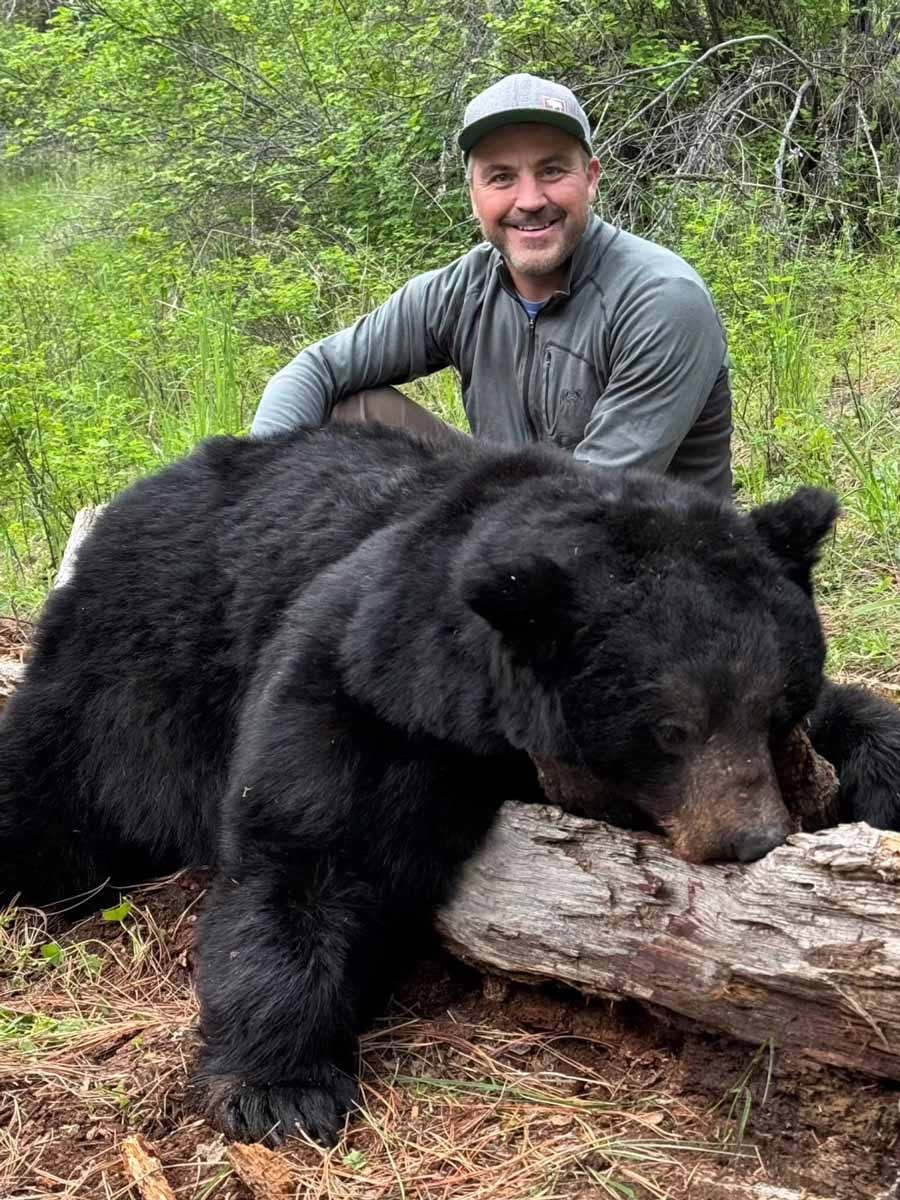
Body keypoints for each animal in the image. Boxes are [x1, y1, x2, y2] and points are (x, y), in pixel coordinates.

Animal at [2, 421, 899, 1146]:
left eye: (777, 704)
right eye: (669, 728)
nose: (751, 837)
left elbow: (857, 717)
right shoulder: (365, 684)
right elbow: (309, 851)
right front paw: (278, 1090)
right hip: (133, 673)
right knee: (54, 800)